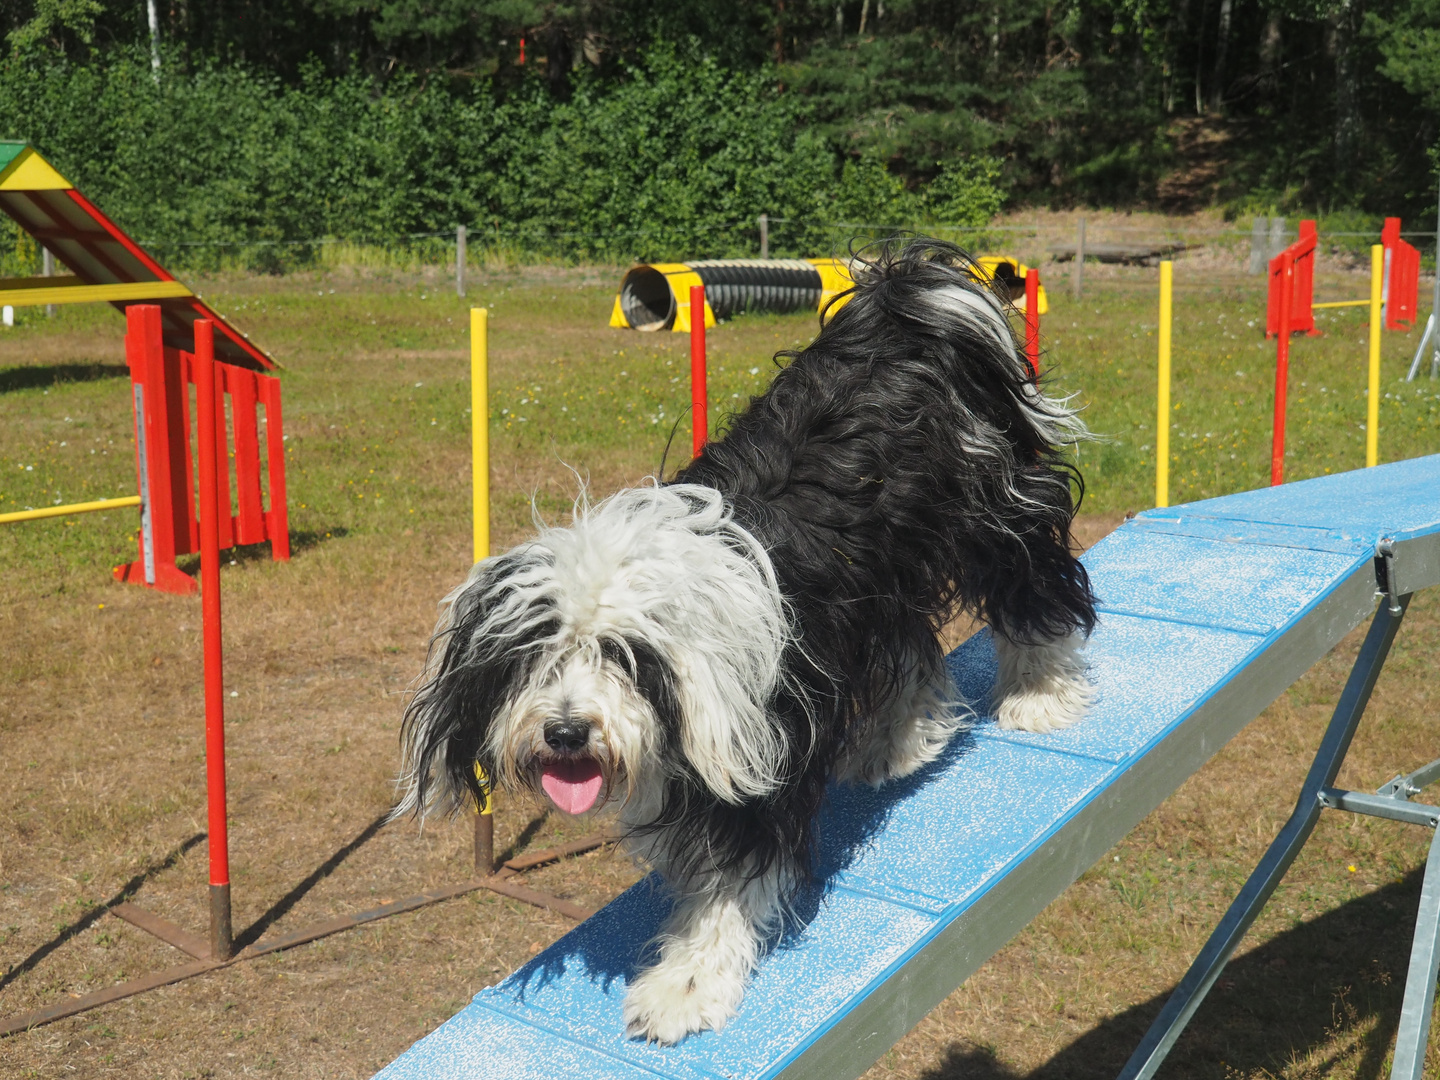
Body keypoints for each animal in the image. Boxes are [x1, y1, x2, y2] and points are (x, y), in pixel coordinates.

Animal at [394, 239, 1088, 1048]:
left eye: (624, 657)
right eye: (531, 659)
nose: (567, 733)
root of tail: (899, 307)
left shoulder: (761, 742)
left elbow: (732, 874)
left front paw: (686, 988)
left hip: (992, 510)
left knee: (1033, 583)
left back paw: (1040, 693)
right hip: (883, 580)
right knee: (910, 643)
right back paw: (902, 739)